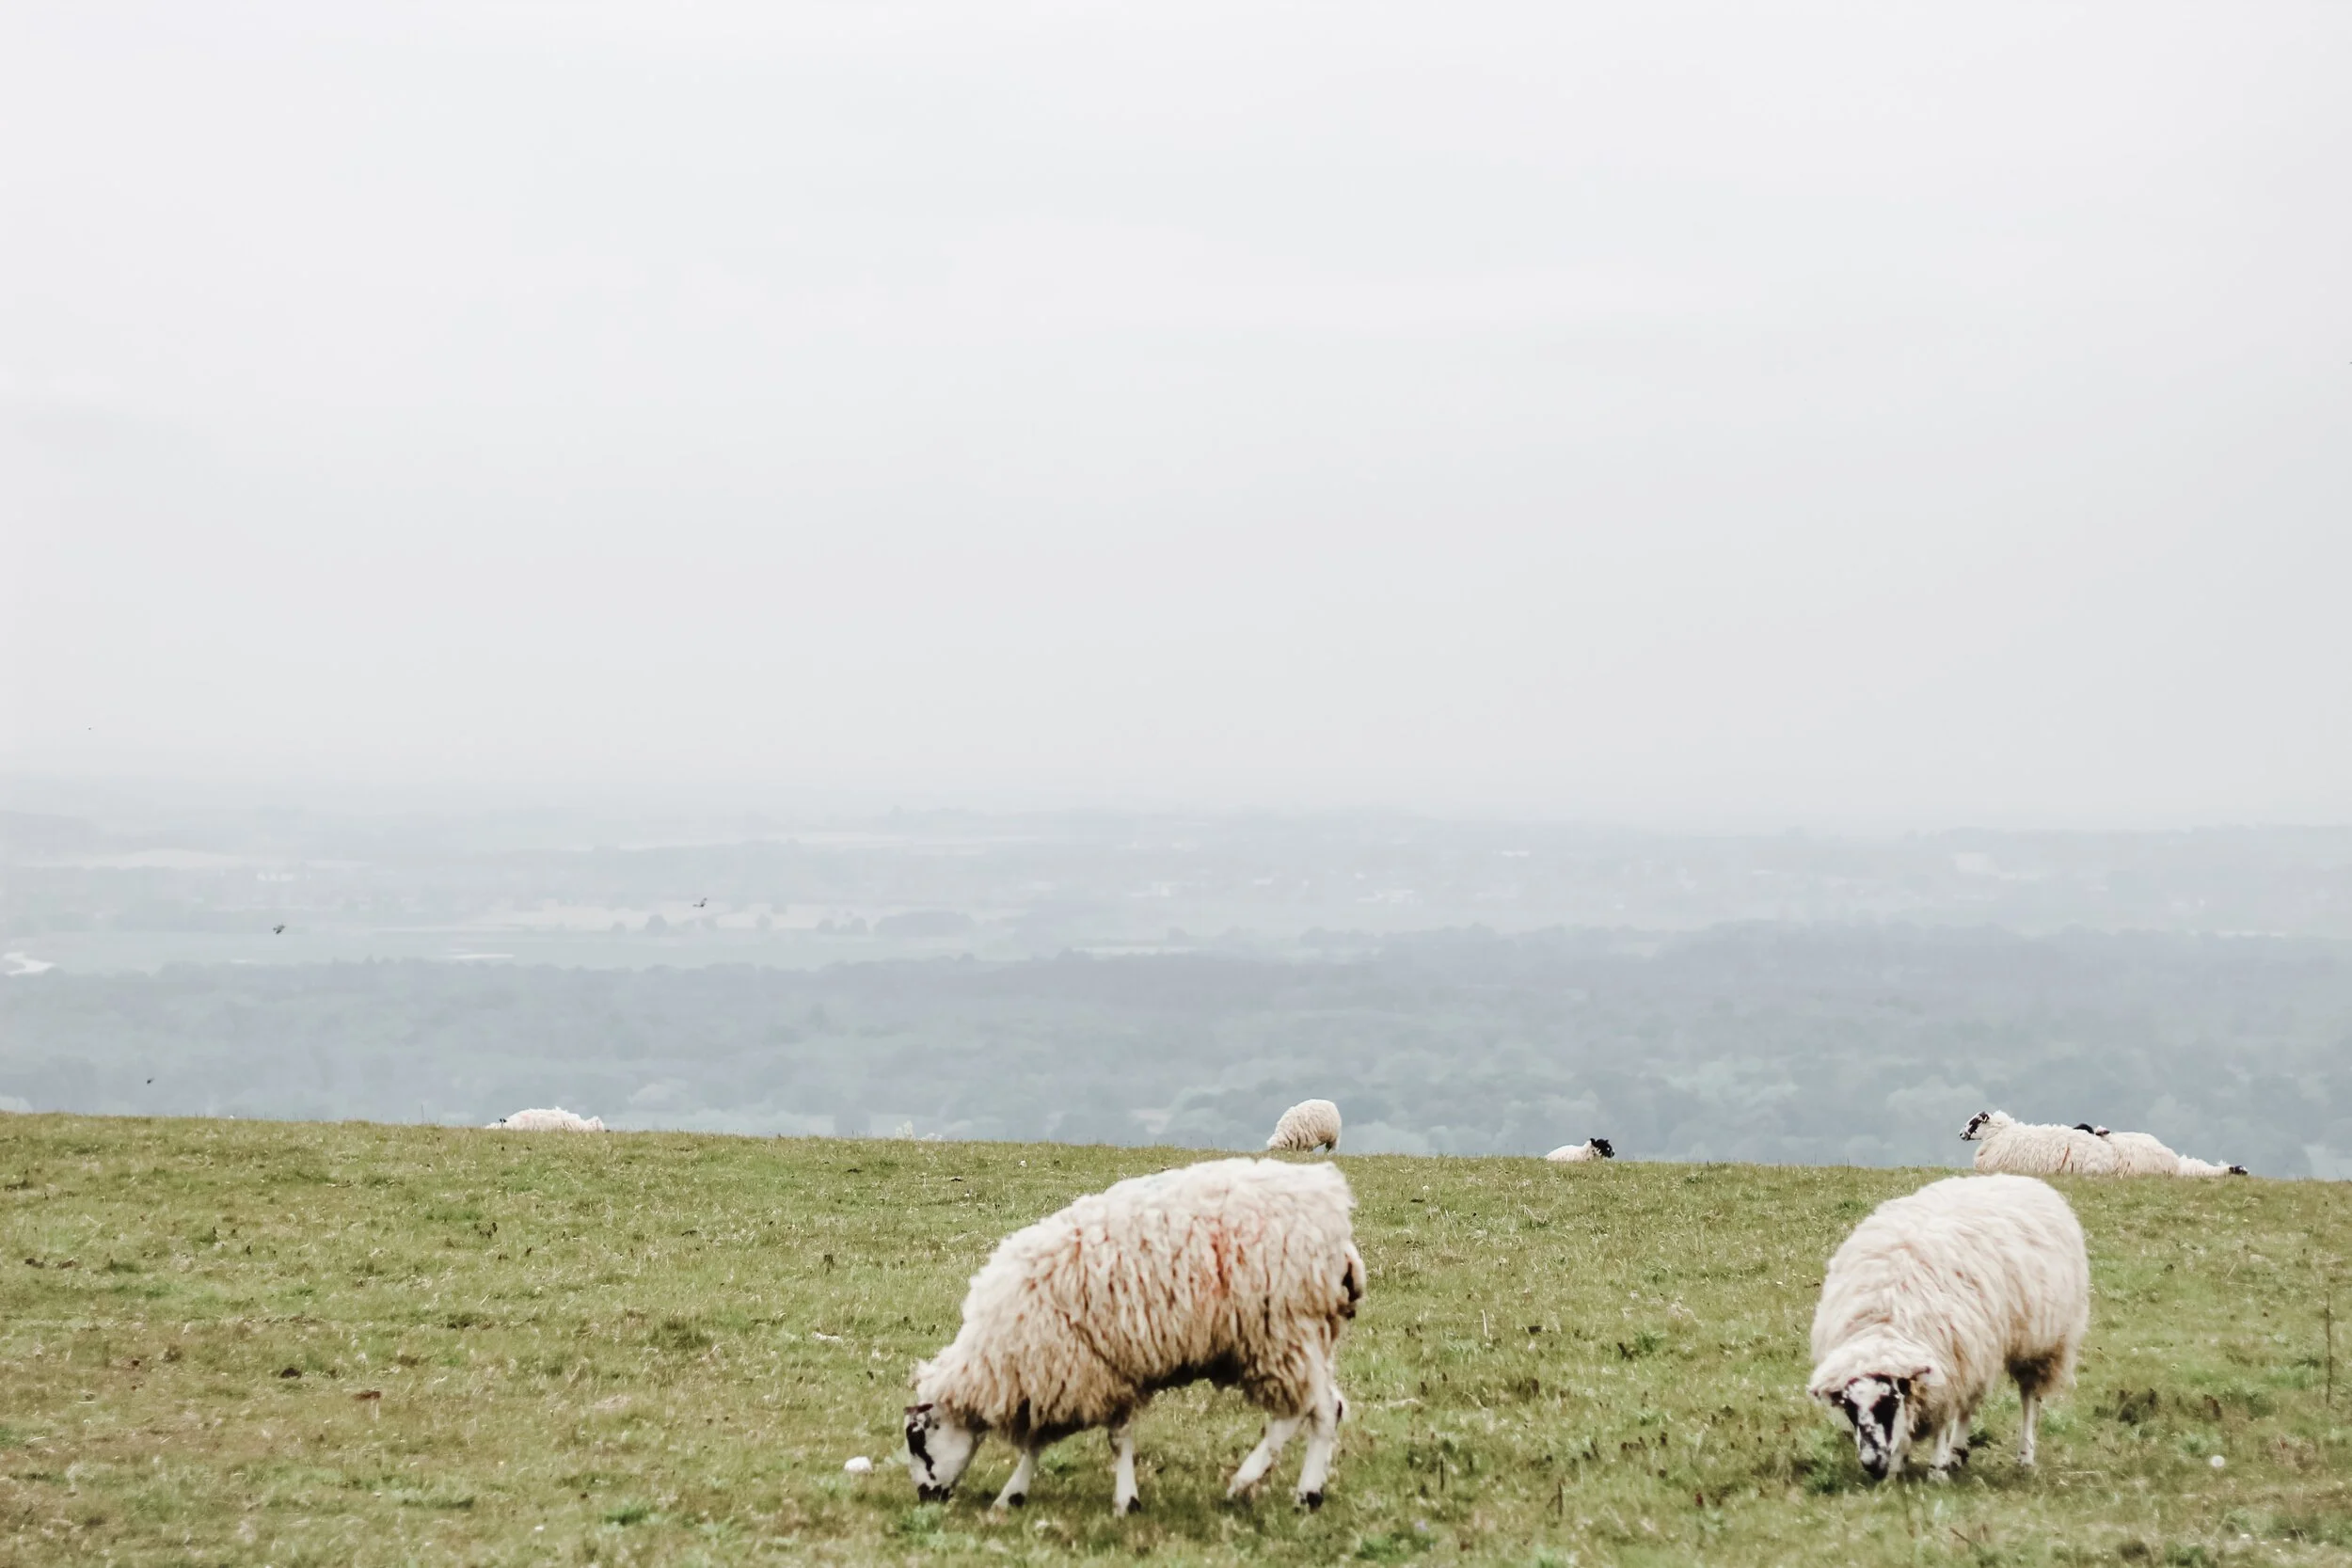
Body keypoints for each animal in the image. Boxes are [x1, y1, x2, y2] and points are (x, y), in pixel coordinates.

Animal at [903, 1156, 1365, 1515]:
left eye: (918, 1440)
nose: (925, 1496)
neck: (992, 1358)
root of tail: (1336, 1222)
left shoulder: (1072, 1369)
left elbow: (1079, 1441)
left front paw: (1021, 1495)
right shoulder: (1093, 1372)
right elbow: (1090, 1439)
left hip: (1277, 1334)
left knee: (1297, 1413)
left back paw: (1245, 1482)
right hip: (1303, 1338)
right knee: (1327, 1409)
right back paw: (1308, 1493)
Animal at [1809, 1173, 2089, 1482]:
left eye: (1890, 1403)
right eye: (1849, 1407)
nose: (1872, 1465)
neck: (1886, 1322)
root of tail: (2019, 1178)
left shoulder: (1946, 1365)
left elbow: (1939, 1421)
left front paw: (1935, 1471)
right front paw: (1898, 1468)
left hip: (2040, 1342)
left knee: (2029, 1398)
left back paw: (2024, 1456)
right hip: (1977, 1348)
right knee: (1969, 1403)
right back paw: (1957, 1453)